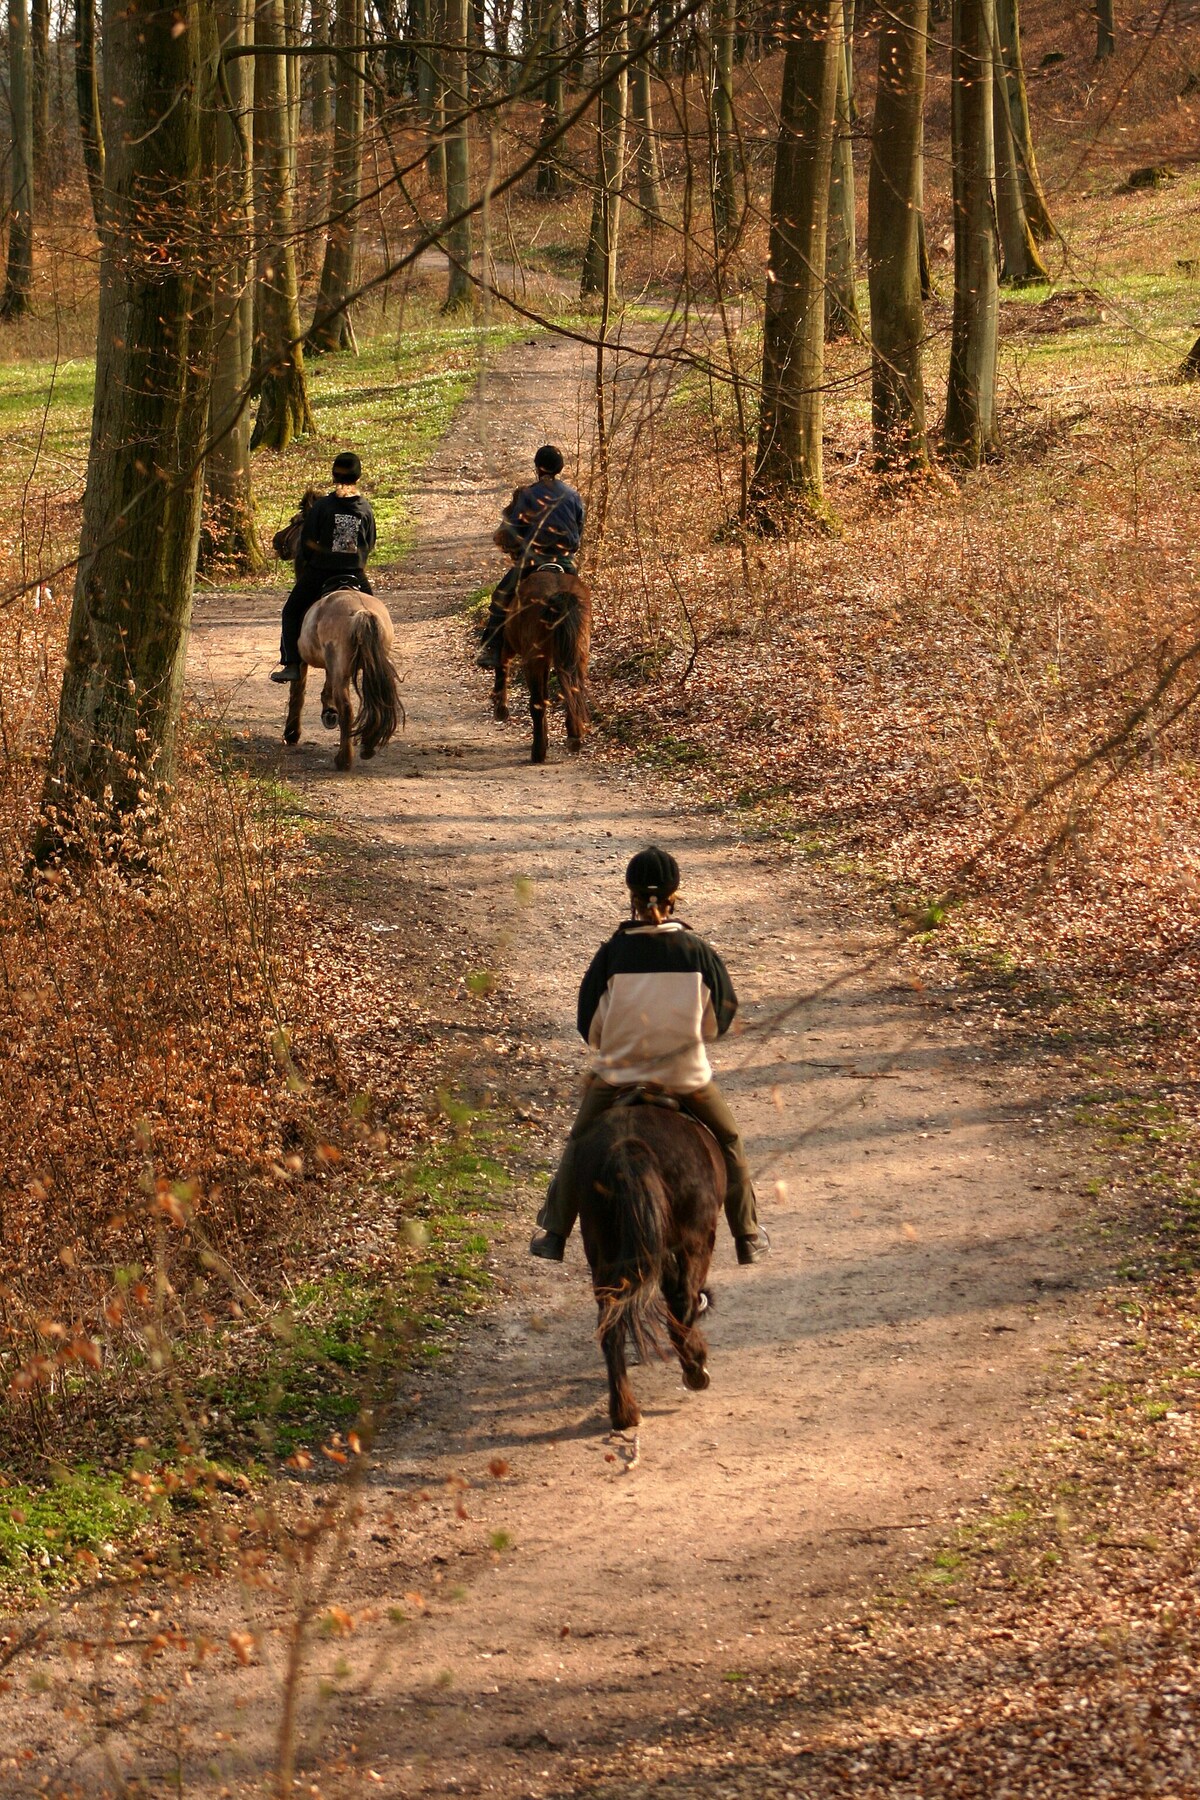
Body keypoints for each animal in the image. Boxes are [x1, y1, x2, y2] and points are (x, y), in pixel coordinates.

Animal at [282, 583, 402, 766]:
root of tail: (362, 612)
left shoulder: (303, 662)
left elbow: (297, 694)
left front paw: (292, 733)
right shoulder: (332, 666)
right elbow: (326, 685)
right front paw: (329, 711)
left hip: (341, 670)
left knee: (346, 708)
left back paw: (343, 760)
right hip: (367, 668)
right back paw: (367, 747)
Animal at [492, 540, 590, 759]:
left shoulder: (509, 647)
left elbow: (503, 668)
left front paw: (500, 709)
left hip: (533, 660)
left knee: (537, 702)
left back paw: (538, 751)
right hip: (577, 656)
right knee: (572, 691)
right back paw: (574, 738)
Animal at [572, 1094, 723, 1432]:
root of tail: (626, 1149)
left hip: (604, 1252)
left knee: (611, 1324)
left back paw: (624, 1412)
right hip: (693, 1239)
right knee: (682, 1301)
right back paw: (695, 1370)